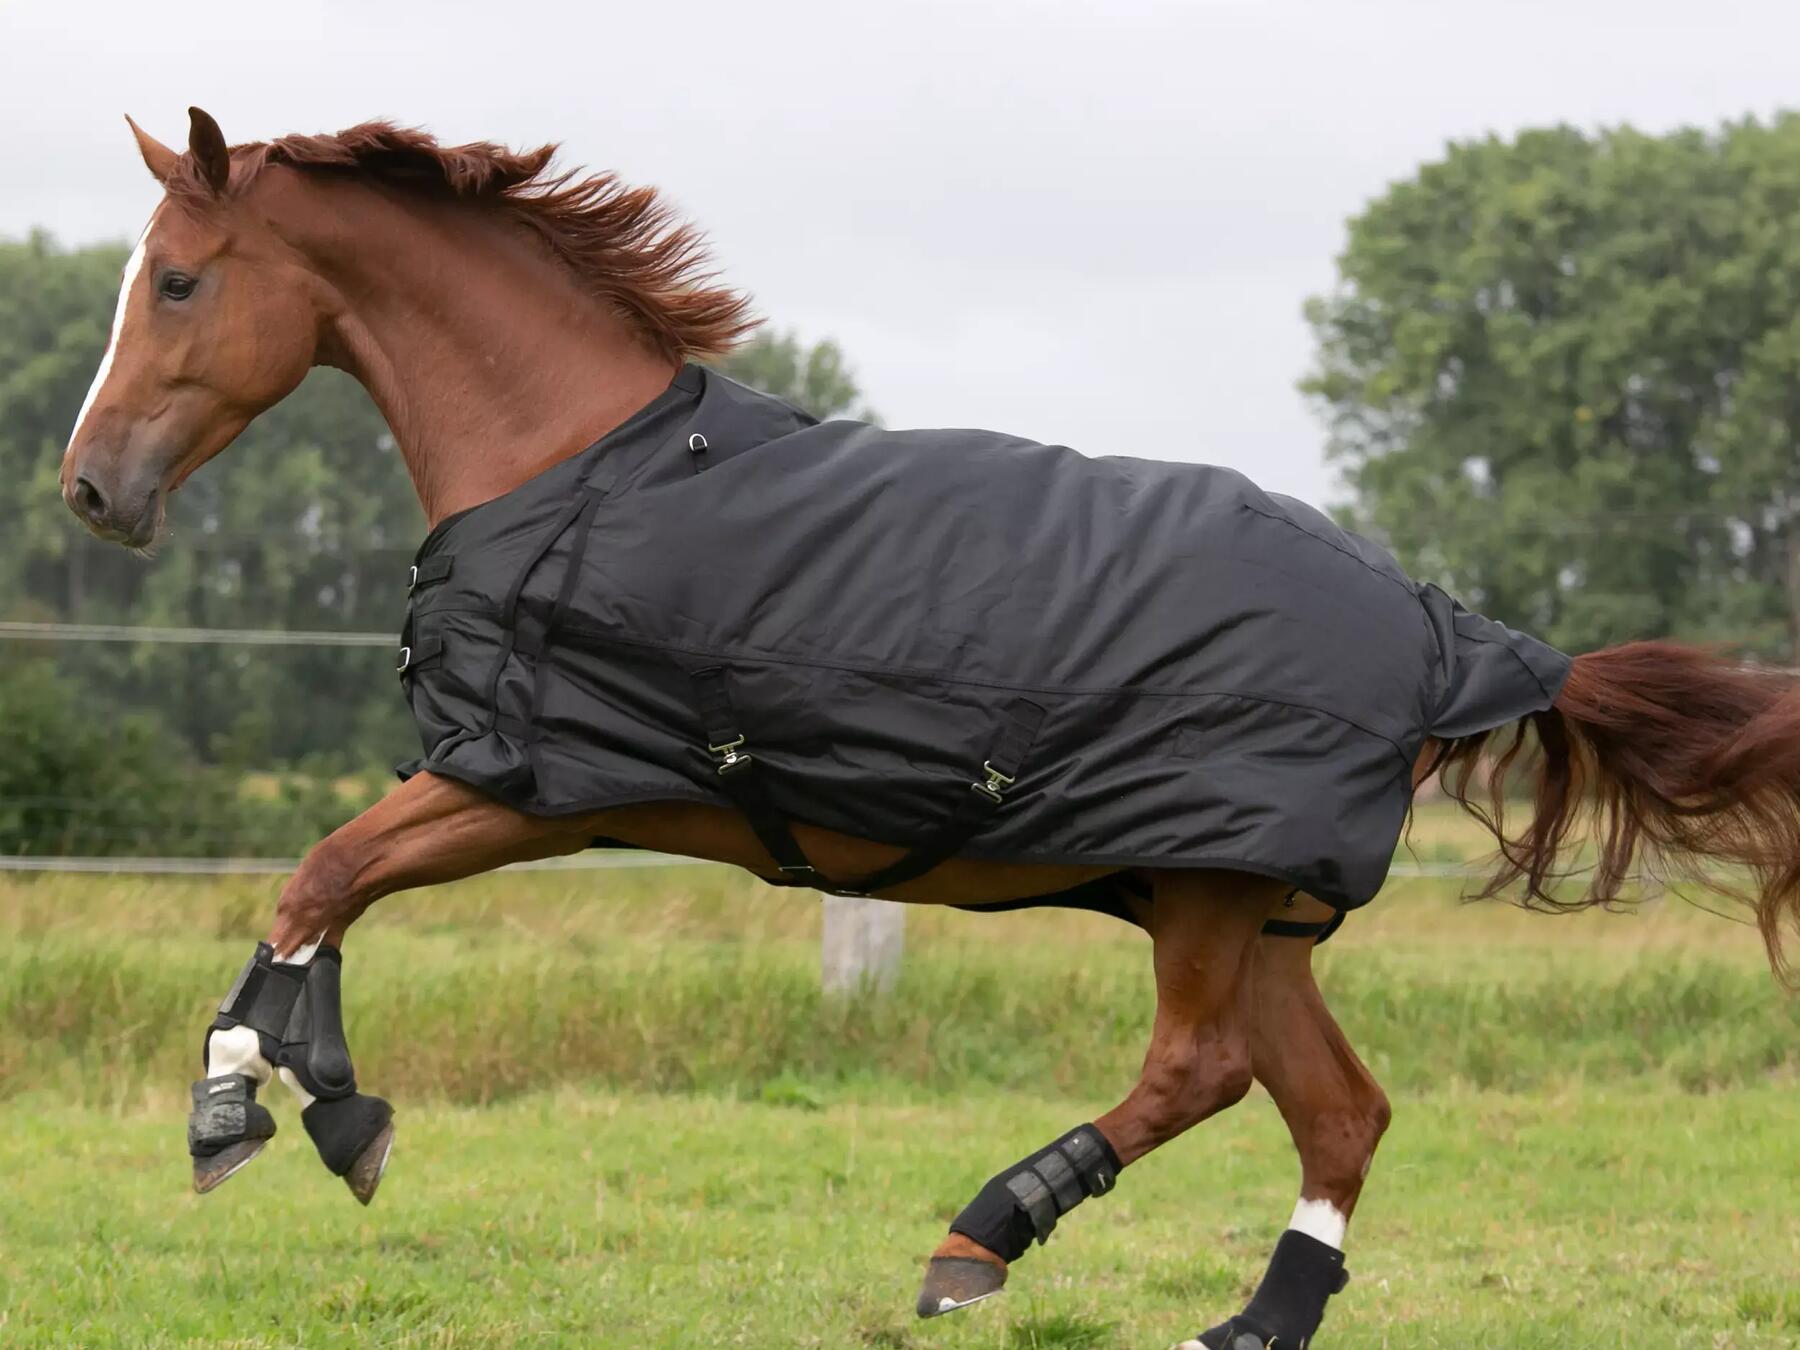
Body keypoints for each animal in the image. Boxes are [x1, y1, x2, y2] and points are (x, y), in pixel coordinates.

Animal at [59, 108, 1800, 1350]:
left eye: (179, 279)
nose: (90, 490)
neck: (577, 467)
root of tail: (1448, 628)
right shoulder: (528, 785)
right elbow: (320, 894)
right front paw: (315, 1102)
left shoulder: (526, 783)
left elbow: (317, 878)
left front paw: (247, 1103)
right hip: (1250, 901)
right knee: (1338, 1110)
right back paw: (1248, 1322)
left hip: (1211, 889)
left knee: (1200, 1070)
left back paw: (983, 1233)